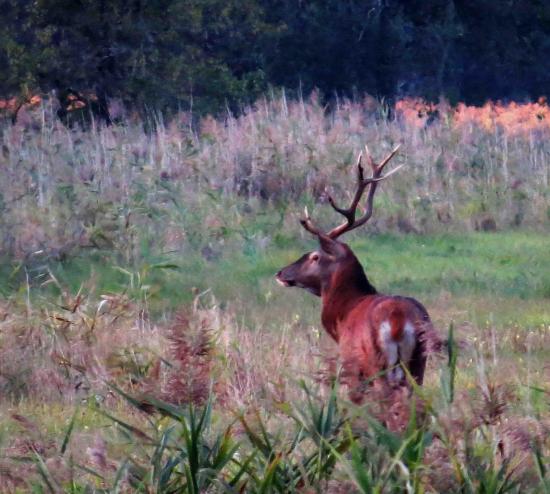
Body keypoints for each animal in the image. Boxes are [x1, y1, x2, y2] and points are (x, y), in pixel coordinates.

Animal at [276, 145, 444, 404]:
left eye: (315, 256)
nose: (281, 272)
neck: (342, 315)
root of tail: (399, 321)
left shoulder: (352, 366)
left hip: (377, 363)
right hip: (419, 363)